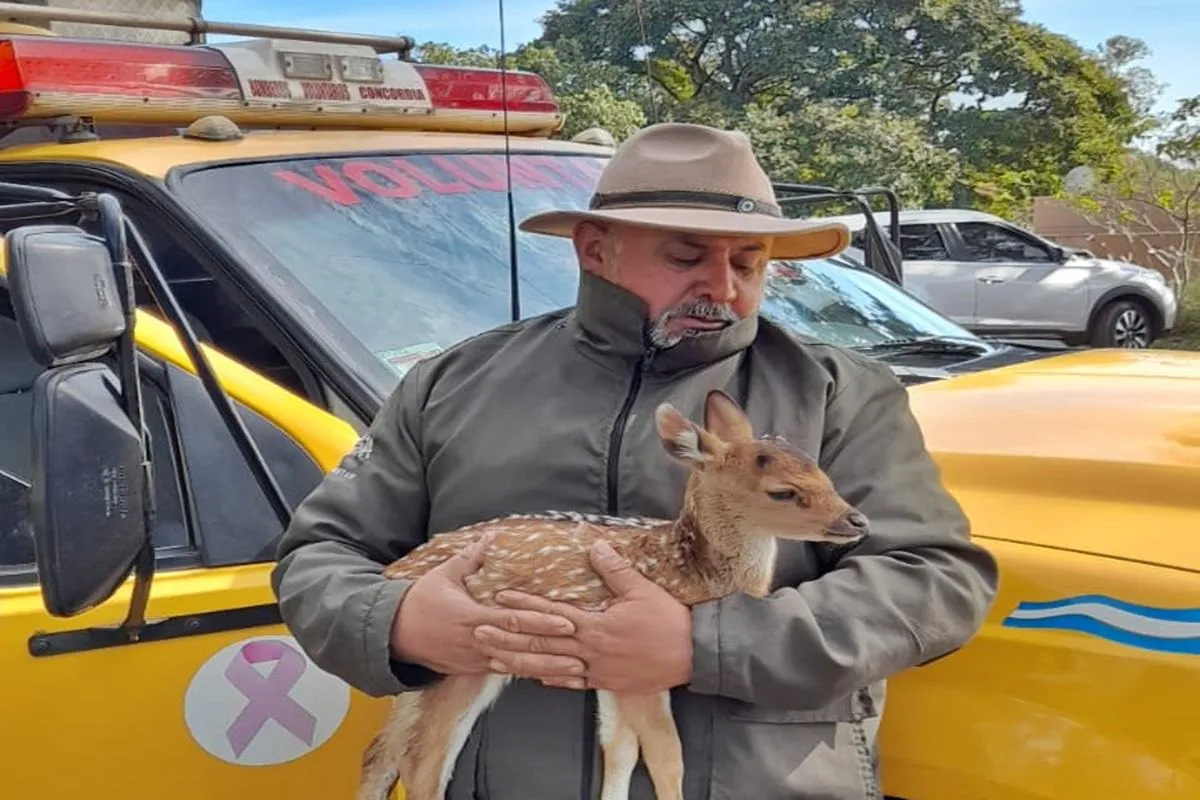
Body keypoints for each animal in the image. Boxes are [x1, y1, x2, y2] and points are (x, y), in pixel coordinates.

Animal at [356, 390, 870, 800]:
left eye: (824, 474)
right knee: (420, 760)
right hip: (459, 659)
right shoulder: (638, 667)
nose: (858, 520)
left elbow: (620, 748)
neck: (687, 570)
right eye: (783, 492)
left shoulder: (612, 670)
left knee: (385, 750)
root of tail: (396, 570)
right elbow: (665, 755)